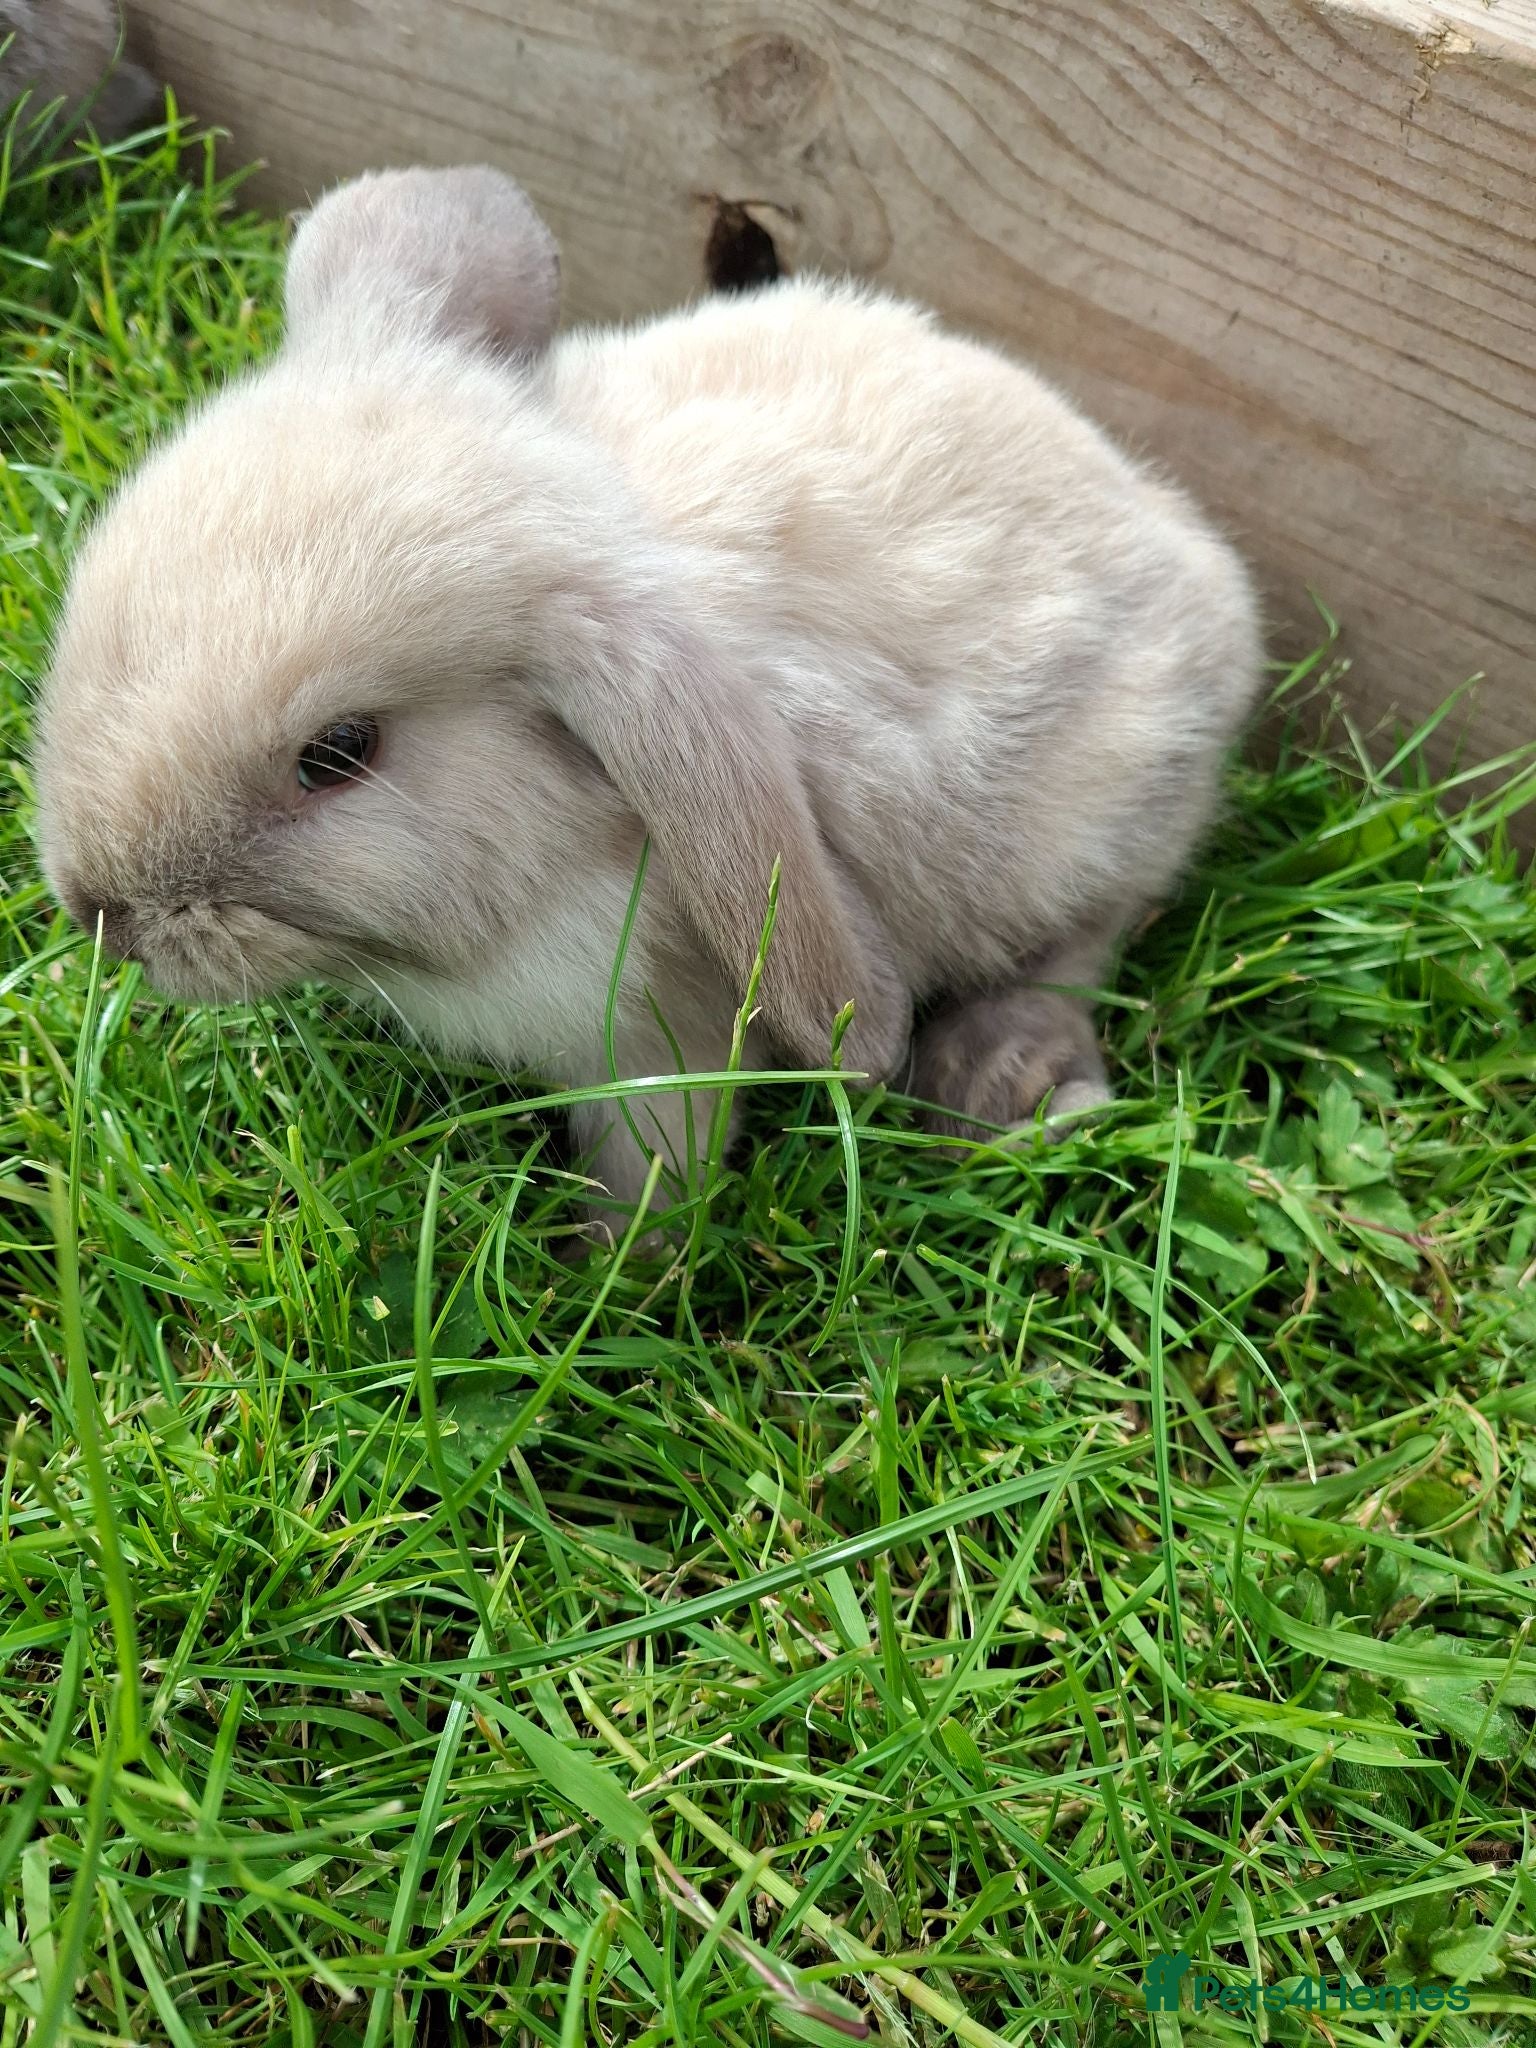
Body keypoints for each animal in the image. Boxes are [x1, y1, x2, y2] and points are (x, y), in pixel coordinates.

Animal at [33, 164, 1262, 1231]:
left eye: (338, 751)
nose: (100, 913)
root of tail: (1203, 573)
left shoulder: (665, 1038)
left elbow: (657, 1161)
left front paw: (607, 1271)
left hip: (1100, 817)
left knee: (1085, 940)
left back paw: (1007, 1085)